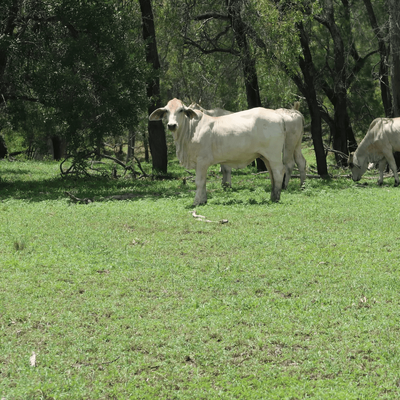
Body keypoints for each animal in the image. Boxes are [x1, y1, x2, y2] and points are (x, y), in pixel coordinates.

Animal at [148, 96, 286, 203]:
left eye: (181, 110)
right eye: (166, 111)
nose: (171, 125)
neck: (190, 130)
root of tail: (277, 114)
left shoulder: (202, 161)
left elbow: (199, 181)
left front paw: (197, 201)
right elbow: (203, 182)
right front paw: (203, 200)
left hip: (273, 154)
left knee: (278, 172)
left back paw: (276, 198)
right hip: (265, 156)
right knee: (272, 174)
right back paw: (273, 196)